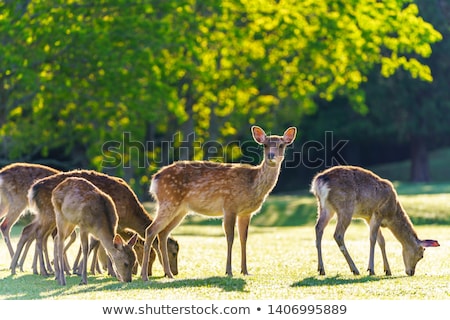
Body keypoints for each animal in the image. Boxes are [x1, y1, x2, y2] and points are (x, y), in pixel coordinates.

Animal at [10, 170, 179, 278]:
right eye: (173, 252)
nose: (175, 272)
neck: (130, 215)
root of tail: (33, 190)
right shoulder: (113, 222)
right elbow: (97, 245)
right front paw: (93, 270)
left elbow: (97, 244)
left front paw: (93, 270)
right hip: (49, 214)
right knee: (39, 235)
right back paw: (44, 270)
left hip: (44, 215)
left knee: (31, 231)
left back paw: (26, 268)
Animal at [141, 125, 296, 280]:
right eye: (265, 145)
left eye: (281, 145)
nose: (271, 156)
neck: (252, 184)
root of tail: (155, 178)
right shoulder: (230, 205)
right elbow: (230, 238)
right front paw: (229, 271)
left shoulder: (246, 213)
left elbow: (244, 238)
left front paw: (245, 271)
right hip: (169, 200)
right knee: (151, 230)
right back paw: (145, 276)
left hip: (180, 210)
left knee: (163, 233)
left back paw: (169, 274)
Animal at [310, 166, 440, 276]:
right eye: (422, 254)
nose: (411, 272)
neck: (392, 214)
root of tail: (318, 182)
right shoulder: (378, 213)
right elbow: (373, 239)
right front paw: (371, 270)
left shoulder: (368, 218)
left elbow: (381, 241)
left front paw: (388, 270)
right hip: (345, 207)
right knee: (338, 234)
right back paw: (355, 269)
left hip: (324, 207)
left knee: (318, 228)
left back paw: (321, 269)